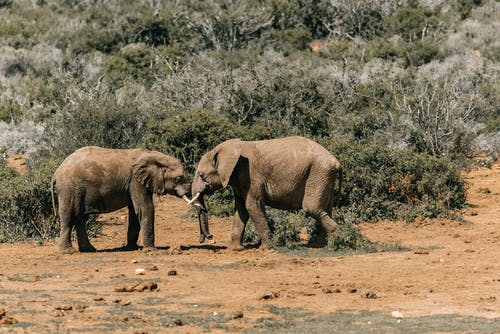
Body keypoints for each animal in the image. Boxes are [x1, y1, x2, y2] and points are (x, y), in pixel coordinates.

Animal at [51, 146, 191, 253]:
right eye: (178, 178)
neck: (153, 155)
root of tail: (56, 173)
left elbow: (134, 212)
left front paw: (132, 248)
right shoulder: (135, 181)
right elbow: (145, 208)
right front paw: (151, 250)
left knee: (81, 218)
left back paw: (89, 250)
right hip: (69, 189)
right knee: (69, 217)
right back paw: (69, 251)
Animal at [189, 136, 342, 250]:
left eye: (202, 175)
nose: (209, 237)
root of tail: (337, 162)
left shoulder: (251, 177)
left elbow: (252, 206)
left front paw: (267, 248)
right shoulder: (238, 180)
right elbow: (241, 209)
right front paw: (233, 249)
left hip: (318, 173)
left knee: (312, 208)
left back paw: (335, 240)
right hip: (324, 177)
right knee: (326, 209)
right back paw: (320, 245)